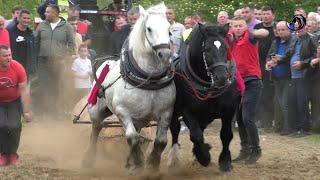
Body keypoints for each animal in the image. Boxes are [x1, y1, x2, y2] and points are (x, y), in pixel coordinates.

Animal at [82, 2, 175, 172]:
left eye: (169, 29)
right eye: (149, 29)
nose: (164, 54)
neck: (148, 81)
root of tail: (107, 63)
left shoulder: (166, 112)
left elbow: (161, 141)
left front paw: (152, 165)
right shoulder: (123, 112)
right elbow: (132, 138)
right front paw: (139, 163)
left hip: (139, 119)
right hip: (97, 110)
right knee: (96, 128)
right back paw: (89, 158)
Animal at [169, 23, 241, 172]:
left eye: (226, 48)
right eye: (207, 50)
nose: (222, 78)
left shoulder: (229, 110)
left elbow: (226, 134)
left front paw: (225, 161)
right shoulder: (187, 111)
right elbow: (195, 136)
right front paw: (204, 157)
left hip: (206, 116)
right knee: (175, 129)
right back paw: (175, 157)